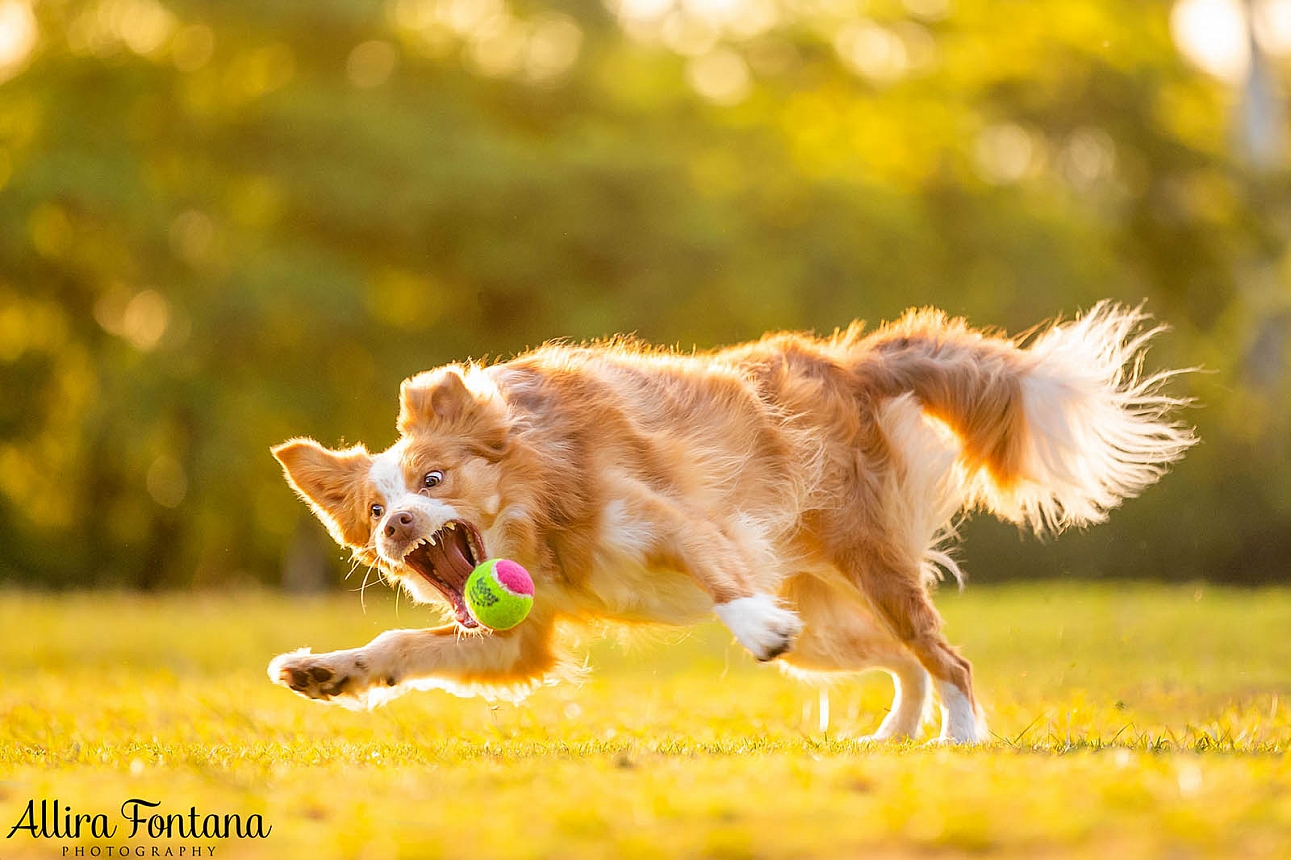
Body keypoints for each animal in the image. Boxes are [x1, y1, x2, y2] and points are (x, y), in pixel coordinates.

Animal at [267, 303, 1192, 743]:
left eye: (433, 478)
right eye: (374, 509)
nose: (397, 529)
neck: (539, 507)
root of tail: (847, 362)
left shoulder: (673, 514)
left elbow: (718, 579)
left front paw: (748, 624)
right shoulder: (517, 637)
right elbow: (402, 646)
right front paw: (326, 672)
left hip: (870, 566)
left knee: (946, 657)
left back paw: (957, 741)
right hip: (827, 628)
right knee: (905, 660)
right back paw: (892, 737)